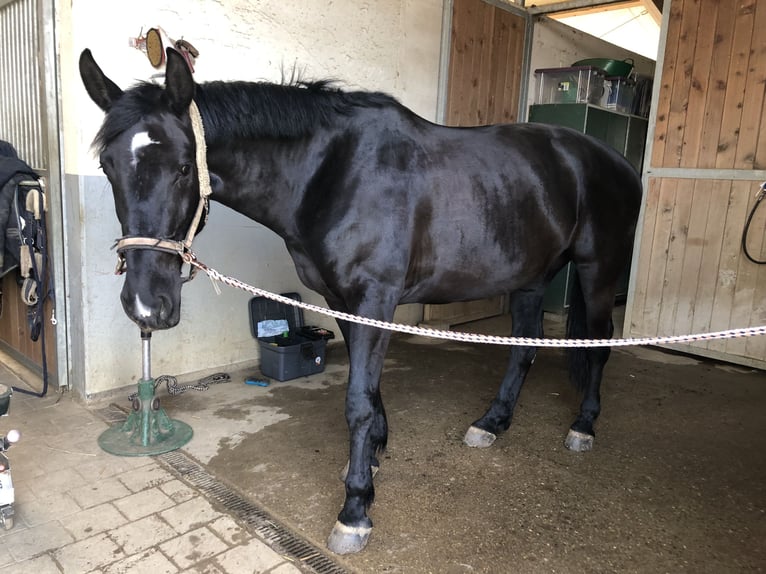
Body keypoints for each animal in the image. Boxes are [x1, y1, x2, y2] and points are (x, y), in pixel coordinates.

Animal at [79, 48, 640, 552]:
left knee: (600, 344)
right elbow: (368, 394)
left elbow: (357, 402)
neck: (329, 173)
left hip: (598, 271)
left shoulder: (373, 301)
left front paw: (354, 511)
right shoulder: (340, 299)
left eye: (180, 168)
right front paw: (370, 462)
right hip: (530, 277)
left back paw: (583, 426)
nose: (146, 304)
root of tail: (617, 162)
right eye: (107, 166)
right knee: (523, 348)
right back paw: (492, 423)